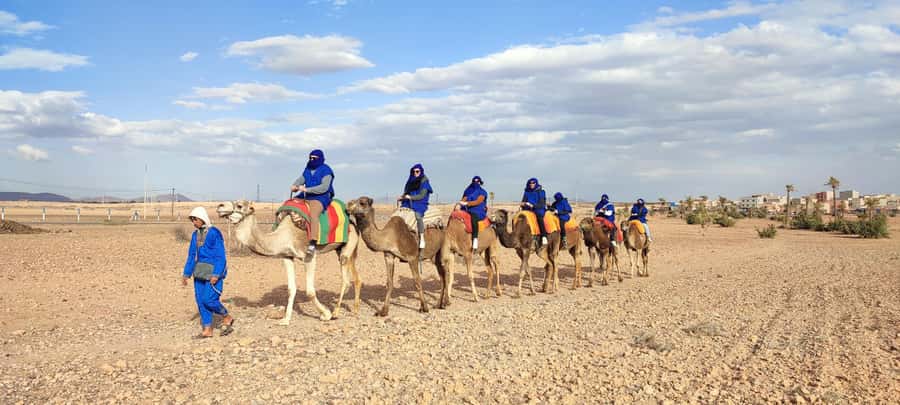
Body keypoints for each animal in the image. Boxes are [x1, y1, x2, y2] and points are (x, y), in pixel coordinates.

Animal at [216, 200, 360, 324]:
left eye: (239, 205)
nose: (220, 206)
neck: (284, 235)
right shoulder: (287, 257)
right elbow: (291, 289)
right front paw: (285, 319)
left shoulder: (309, 257)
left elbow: (310, 291)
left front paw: (325, 314)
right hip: (340, 248)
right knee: (354, 278)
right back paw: (354, 309)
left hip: (348, 245)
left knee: (345, 280)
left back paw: (335, 313)